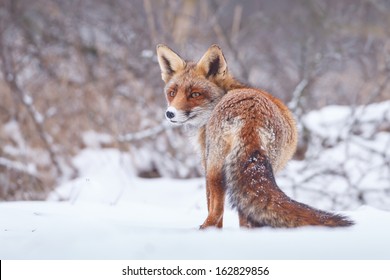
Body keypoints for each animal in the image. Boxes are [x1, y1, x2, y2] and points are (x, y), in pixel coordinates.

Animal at [155, 43, 354, 228]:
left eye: (195, 94)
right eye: (172, 93)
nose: (170, 114)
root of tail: (252, 114)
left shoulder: (206, 163)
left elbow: (213, 209)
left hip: (216, 169)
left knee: (216, 213)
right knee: (247, 216)